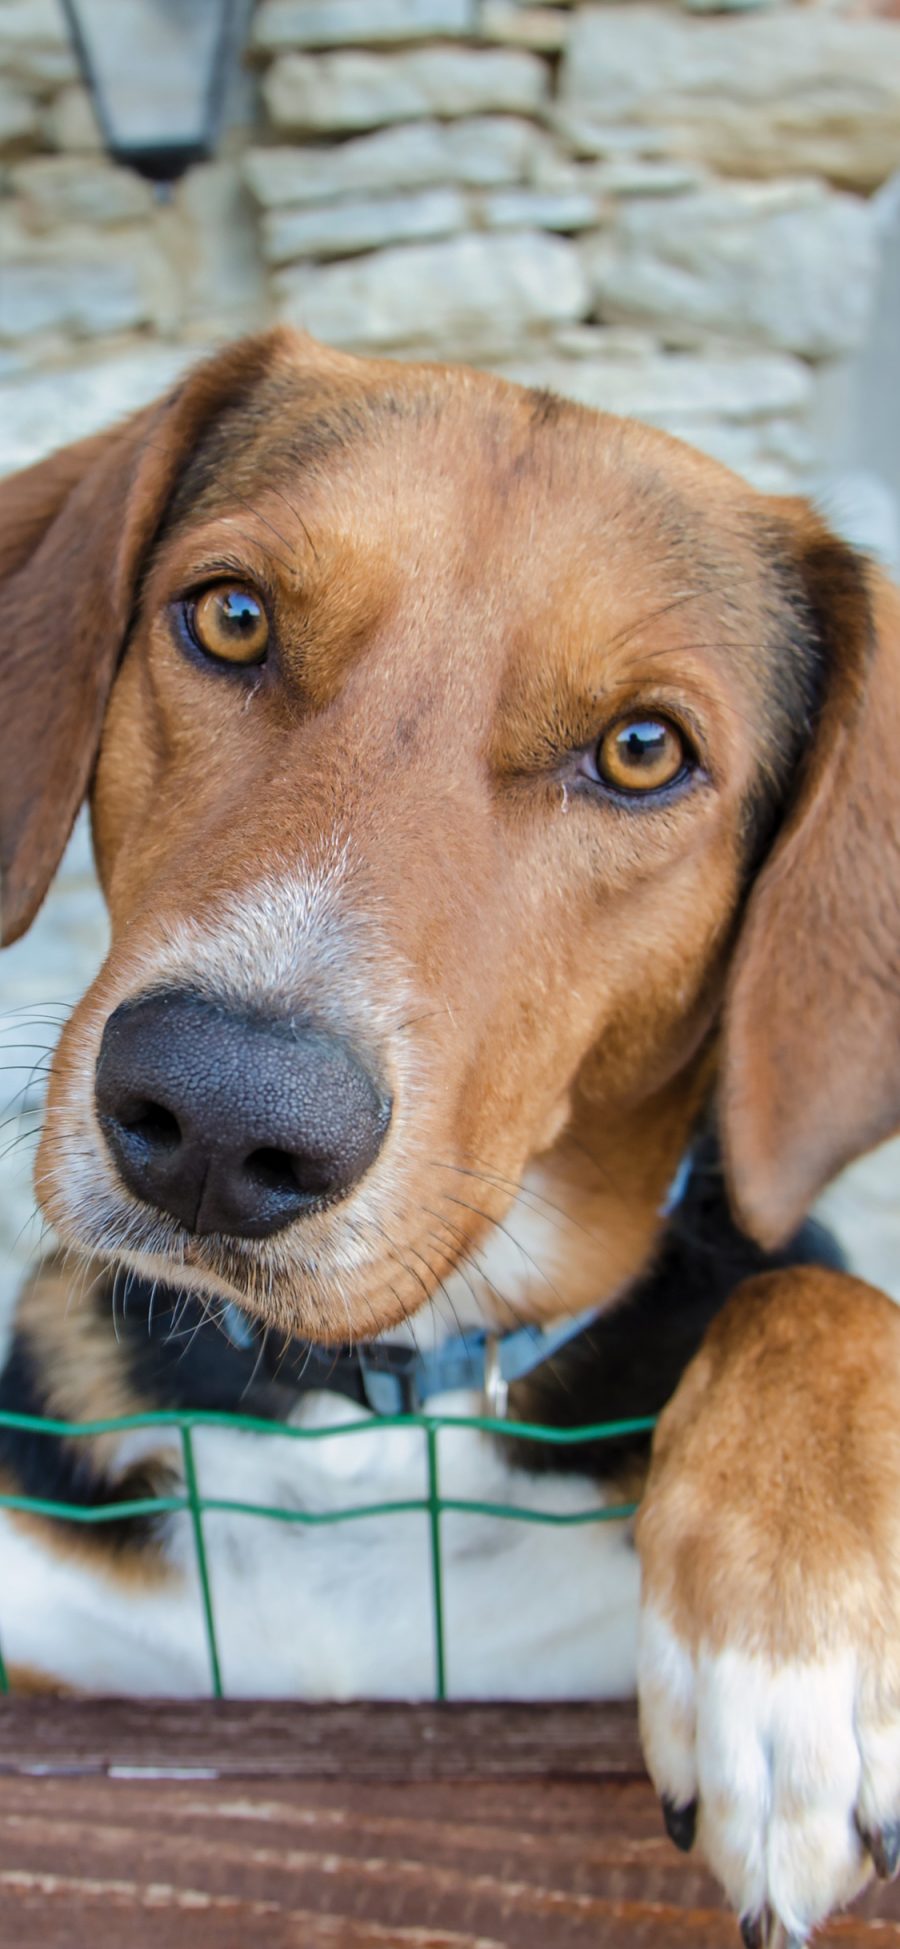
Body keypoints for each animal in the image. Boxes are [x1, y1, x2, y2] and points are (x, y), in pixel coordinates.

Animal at [1, 327, 900, 1941]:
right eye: (231, 617)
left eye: (645, 749)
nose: (219, 1117)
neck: (366, 1415)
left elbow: (815, 1292)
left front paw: (799, 1663)